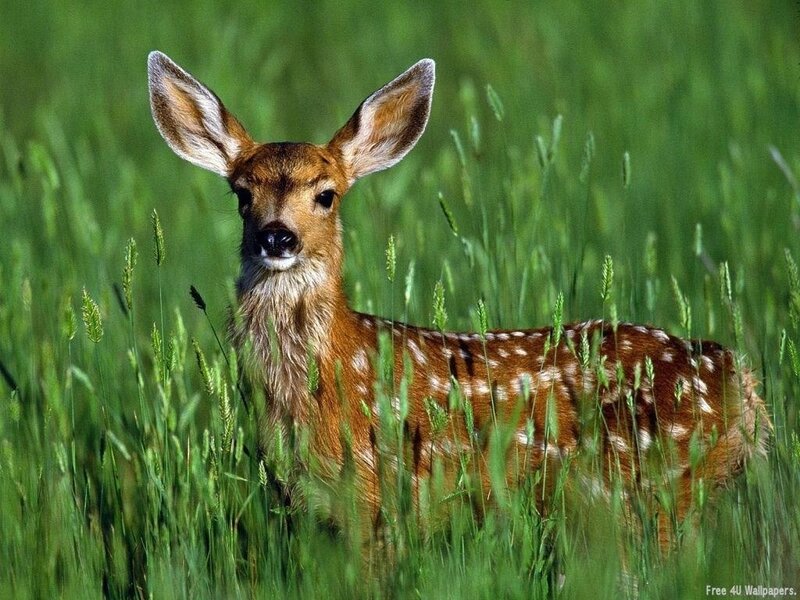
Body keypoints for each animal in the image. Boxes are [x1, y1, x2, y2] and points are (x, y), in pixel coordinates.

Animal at [147, 51, 770, 551]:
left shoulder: (374, 497)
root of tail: (740, 381)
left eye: (326, 195)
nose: (277, 237)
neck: (326, 376)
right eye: (241, 195)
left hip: (654, 486)